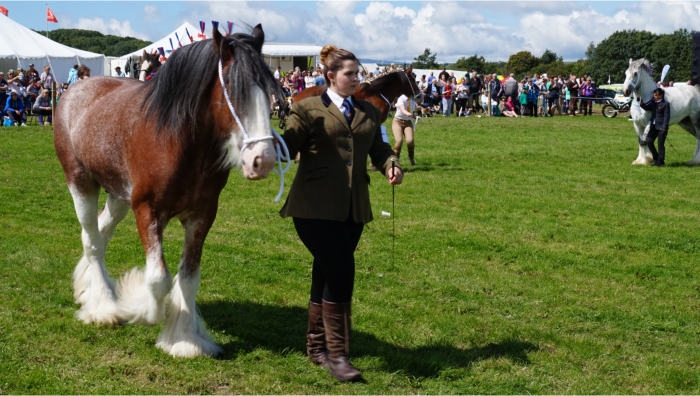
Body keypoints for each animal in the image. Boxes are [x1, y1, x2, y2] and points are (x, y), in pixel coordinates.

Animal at [54, 24, 284, 358]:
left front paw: (185, 338)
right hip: (81, 182)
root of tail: (77, 89)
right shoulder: (147, 210)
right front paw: (139, 307)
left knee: (100, 233)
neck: (178, 140)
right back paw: (105, 307)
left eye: (268, 89)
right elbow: (158, 279)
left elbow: (188, 277)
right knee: (93, 240)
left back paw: (93, 291)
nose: (262, 159)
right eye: (232, 88)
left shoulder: (201, 216)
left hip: (118, 195)